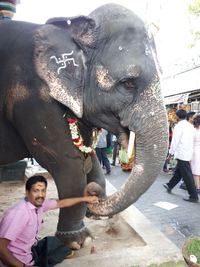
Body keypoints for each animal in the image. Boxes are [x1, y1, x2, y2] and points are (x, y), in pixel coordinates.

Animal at [0, 3, 169, 248]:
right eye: (128, 83)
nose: (95, 195)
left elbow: (90, 161)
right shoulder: (35, 100)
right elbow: (68, 164)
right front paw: (78, 242)